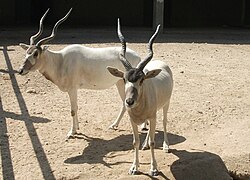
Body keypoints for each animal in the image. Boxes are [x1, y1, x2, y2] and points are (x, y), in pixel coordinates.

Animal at [18, 8, 141, 139]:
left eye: (35, 53)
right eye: (27, 52)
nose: (20, 70)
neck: (61, 61)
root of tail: (138, 56)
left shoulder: (72, 89)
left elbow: (72, 110)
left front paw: (71, 132)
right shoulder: (74, 89)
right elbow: (76, 108)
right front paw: (77, 128)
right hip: (119, 83)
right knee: (124, 103)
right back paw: (114, 125)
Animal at [107, 19, 174, 176]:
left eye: (141, 80)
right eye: (124, 79)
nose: (129, 101)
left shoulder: (153, 116)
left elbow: (153, 142)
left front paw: (154, 169)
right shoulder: (133, 120)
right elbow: (135, 142)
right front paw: (134, 167)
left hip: (165, 105)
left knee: (164, 122)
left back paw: (166, 146)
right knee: (149, 130)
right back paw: (144, 145)